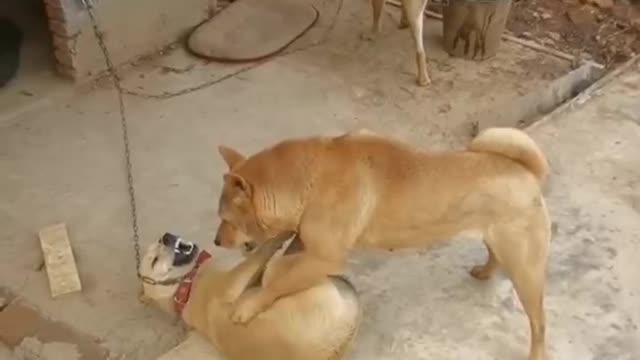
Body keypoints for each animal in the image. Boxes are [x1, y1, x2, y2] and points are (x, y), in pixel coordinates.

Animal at [214, 127, 552, 360]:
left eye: (227, 219)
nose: (216, 241)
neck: (308, 179)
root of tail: (527, 171)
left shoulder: (324, 258)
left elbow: (278, 283)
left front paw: (249, 304)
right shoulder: (308, 245)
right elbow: (285, 261)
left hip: (527, 272)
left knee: (539, 323)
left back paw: (537, 353)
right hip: (496, 239)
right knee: (494, 253)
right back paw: (486, 270)